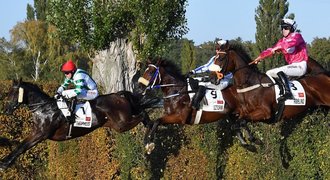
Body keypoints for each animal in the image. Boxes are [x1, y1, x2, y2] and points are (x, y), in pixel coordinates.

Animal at [0, 78, 157, 169]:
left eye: (13, 93)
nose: (6, 109)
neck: (44, 109)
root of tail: (118, 95)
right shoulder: (36, 132)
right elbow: (21, 145)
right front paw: (5, 161)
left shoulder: (41, 134)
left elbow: (22, 147)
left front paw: (4, 164)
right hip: (117, 124)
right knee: (143, 115)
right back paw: (149, 141)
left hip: (121, 124)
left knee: (143, 115)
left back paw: (149, 140)